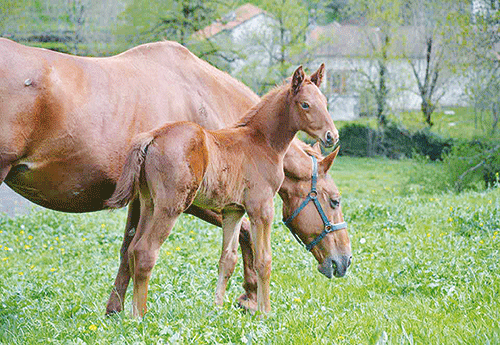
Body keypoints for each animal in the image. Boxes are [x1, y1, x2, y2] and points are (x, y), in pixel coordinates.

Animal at [0, 39, 352, 314]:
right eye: (334, 201)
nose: (344, 261)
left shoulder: (148, 200)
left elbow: (128, 250)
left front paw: (115, 309)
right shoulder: (203, 202)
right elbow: (251, 241)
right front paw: (252, 300)